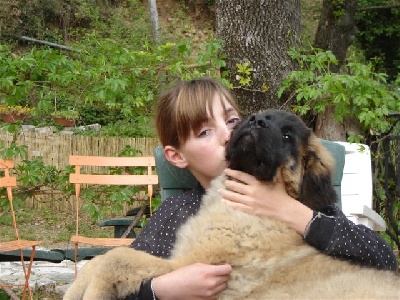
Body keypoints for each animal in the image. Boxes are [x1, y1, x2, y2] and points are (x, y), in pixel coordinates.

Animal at [64, 110, 398, 300]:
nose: (256, 121)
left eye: (287, 135)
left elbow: (115, 258)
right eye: (259, 115)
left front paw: (84, 292)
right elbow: (103, 259)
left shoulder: (187, 265)